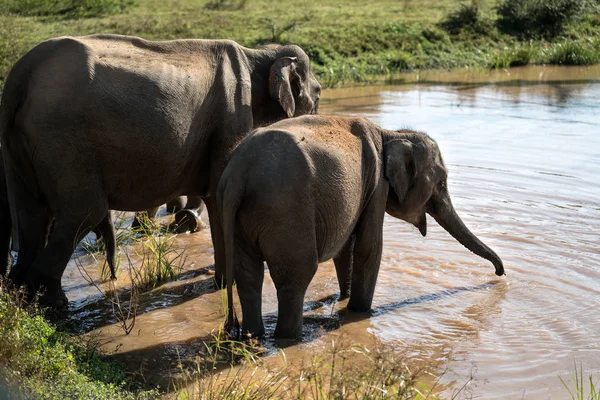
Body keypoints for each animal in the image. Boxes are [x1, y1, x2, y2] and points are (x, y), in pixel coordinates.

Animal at [0, 35, 322, 310]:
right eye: (318, 95)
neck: (257, 53)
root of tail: (18, 75)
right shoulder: (232, 115)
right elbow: (219, 194)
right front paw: (224, 283)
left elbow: (214, 195)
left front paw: (219, 281)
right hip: (62, 140)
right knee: (84, 212)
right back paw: (53, 305)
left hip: (22, 146)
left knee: (33, 217)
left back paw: (25, 297)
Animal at [218, 114, 504, 340]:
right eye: (442, 182)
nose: (499, 274)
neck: (391, 135)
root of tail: (238, 172)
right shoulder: (377, 184)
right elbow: (369, 247)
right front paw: (361, 312)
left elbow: (347, 248)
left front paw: (343, 300)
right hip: (286, 211)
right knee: (296, 275)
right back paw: (289, 339)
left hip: (241, 217)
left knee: (248, 275)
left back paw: (254, 337)